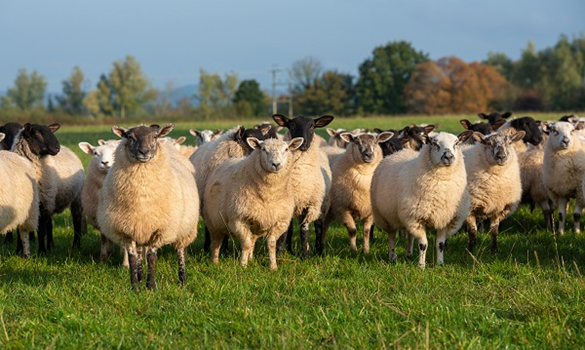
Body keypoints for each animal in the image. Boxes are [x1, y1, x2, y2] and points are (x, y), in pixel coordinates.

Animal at [10, 123, 86, 254]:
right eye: (37, 133)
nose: (57, 147)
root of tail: (69, 149)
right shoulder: (24, 204)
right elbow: (20, 229)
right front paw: (18, 250)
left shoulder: (43, 202)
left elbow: (41, 230)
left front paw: (41, 252)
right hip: (52, 200)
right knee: (50, 225)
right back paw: (51, 246)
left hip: (76, 198)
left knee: (77, 221)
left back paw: (76, 246)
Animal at [97, 123, 200, 290]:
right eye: (130, 137)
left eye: (155, 136)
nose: (144, 152)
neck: (142, 196)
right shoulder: (126, 230)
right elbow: (133, 258)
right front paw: (135, 286)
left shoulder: (160, 229)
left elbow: (151, 257)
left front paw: (150, 286)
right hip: (139, 230)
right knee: (140, 253)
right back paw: (140, 276)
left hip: (184, 228)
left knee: (180, 250)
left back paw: (182, 279)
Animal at [203, 135, 304, 270]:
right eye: (263, 149)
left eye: (286, 149)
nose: (276, 164)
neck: (269, 195)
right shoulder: (238, 220)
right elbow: (245, 244)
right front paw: (243, 266)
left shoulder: (280, 221)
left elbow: (271, 244)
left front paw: (273, 267)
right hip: (213, 223)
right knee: (216, 243)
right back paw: (214, 262)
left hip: (255, 223)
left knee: (252, 240)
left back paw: (250, 258)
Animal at [272, 114, 334, 258]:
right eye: (292, 125)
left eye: (312, 126)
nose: (304, 144)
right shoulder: (286, 204)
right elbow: (284, 232)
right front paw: (280, 254)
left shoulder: (311, 204)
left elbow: (304, 229)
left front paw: (305, 255)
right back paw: (289, 250)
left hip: (321, 204)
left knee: (318, 226)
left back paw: (318, 251)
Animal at [372, 133, 472, 266]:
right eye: (434, 143)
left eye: (456, 143)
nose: (448, 156)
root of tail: (400, 152)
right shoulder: (417, 218)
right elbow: (423, 245)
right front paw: (421, 265)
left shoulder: (445, 219)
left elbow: (440, 244)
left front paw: (440, 264)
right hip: (386, 217)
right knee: (392, 236)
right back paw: (392, 257)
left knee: (410, 236)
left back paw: (409, 254)